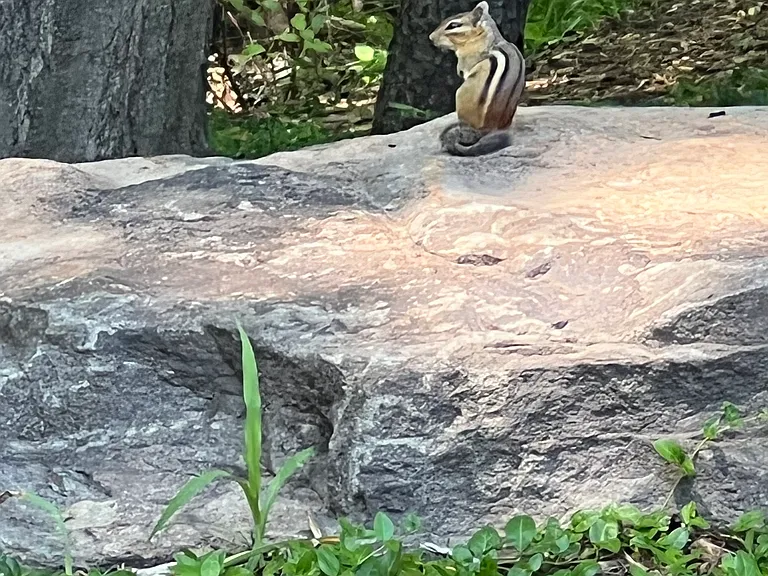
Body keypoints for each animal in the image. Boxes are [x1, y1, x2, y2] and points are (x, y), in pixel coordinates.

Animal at [429, 1, 526, 156]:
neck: (485, 35)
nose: (431, 37)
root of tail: (485, 131)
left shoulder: (466, 60)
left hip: (460, 95)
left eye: (453, 25)